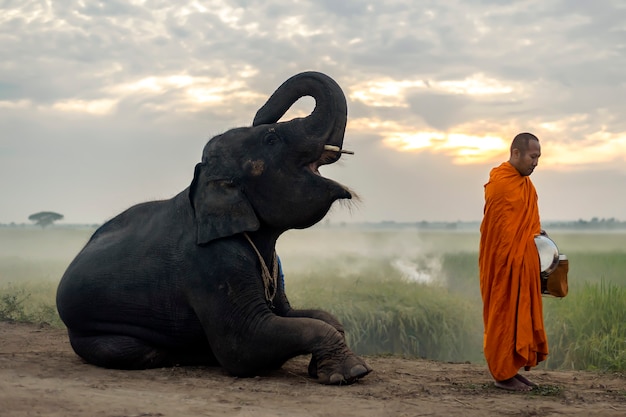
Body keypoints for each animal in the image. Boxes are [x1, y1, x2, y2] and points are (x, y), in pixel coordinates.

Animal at [56, 70, 370, 384]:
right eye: (271, 138)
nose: (261, 114)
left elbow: (306, 315)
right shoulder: (212, 263)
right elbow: (246, 344)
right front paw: (353, 373)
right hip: (91, 334)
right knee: (138, 352)